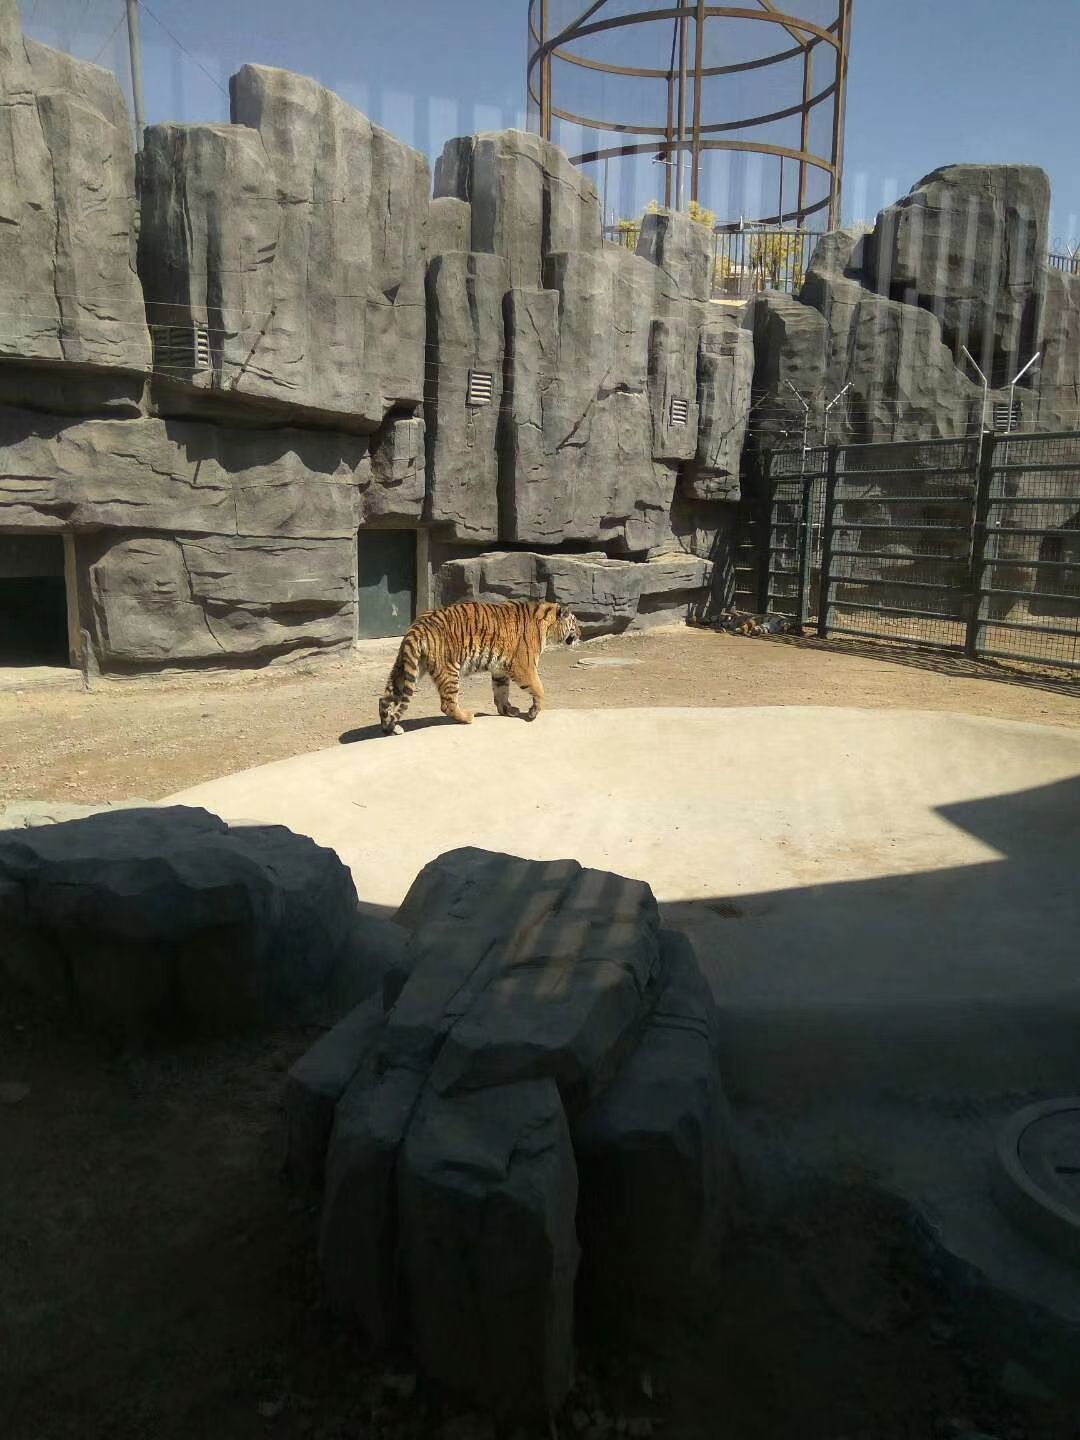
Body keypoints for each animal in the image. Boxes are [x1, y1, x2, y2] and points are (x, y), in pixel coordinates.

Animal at [380, 599, 584, 737]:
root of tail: (417, 626)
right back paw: (467, 717)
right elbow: (539, 690)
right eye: (574, 624)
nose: (581, 634)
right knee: (447, 703)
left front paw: (508, 711)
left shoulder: (501, 670)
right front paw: (533, 713)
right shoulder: (524, 666)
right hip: (449, 670)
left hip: (405, 669)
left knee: (384, 699)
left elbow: (502, 692)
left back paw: (390, 728)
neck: (546, 624)